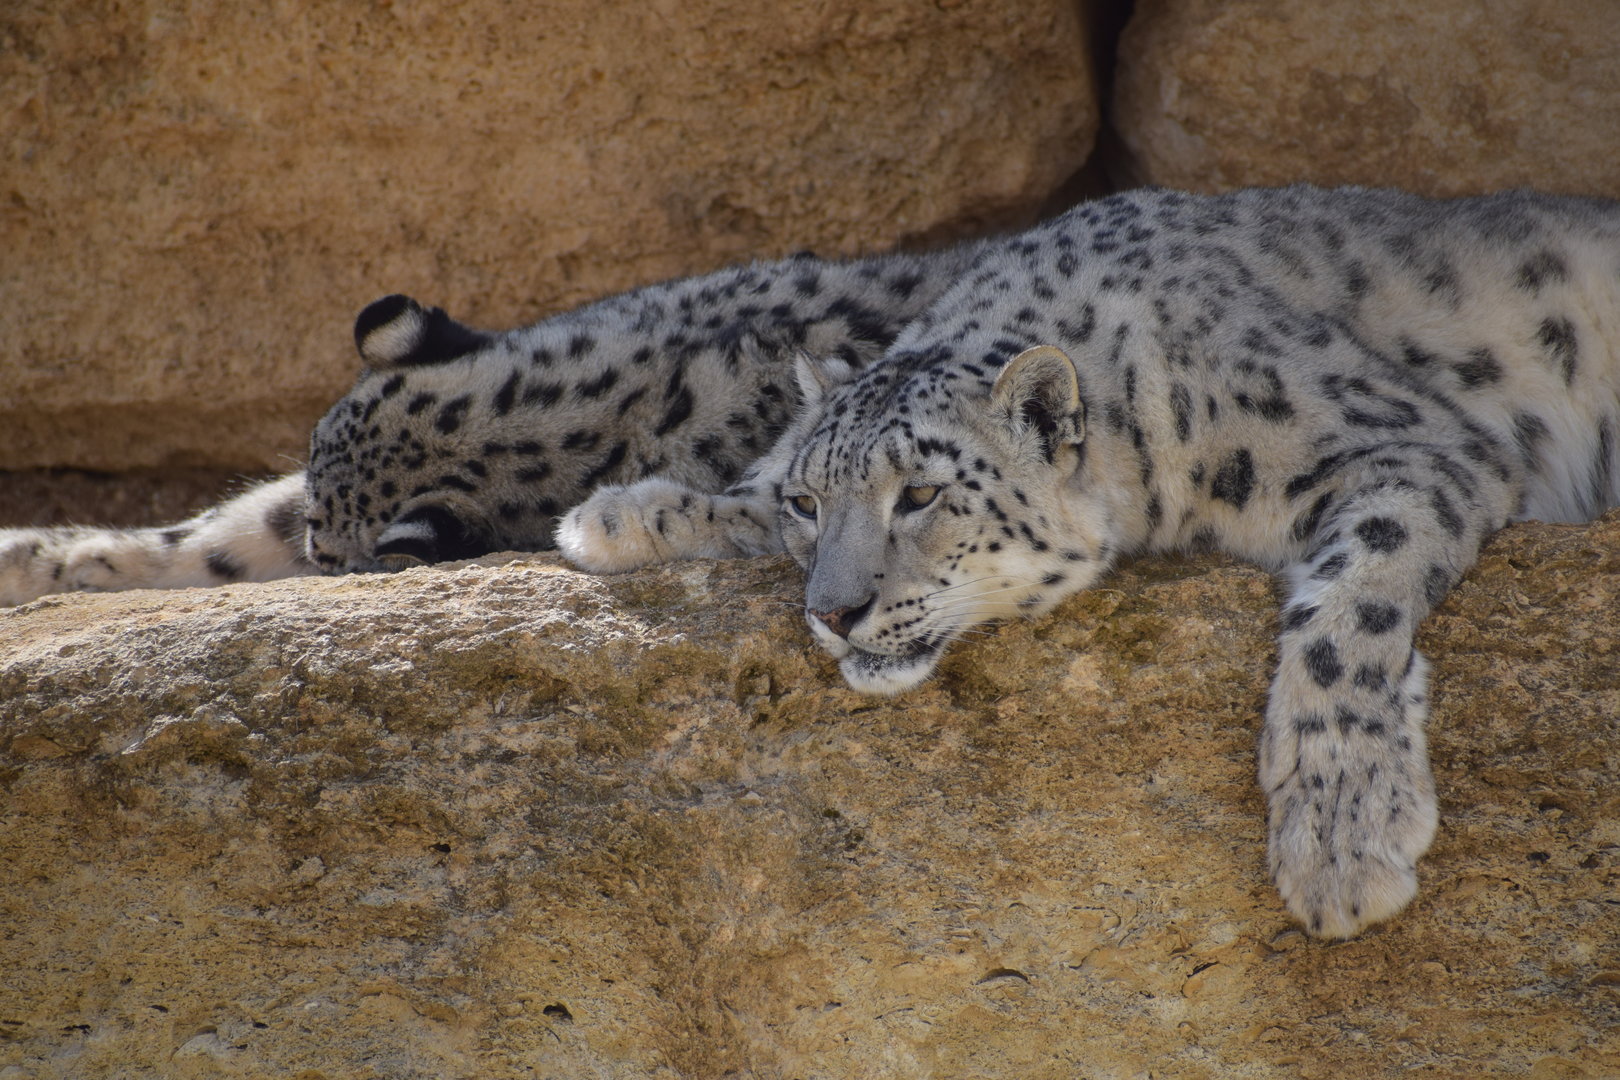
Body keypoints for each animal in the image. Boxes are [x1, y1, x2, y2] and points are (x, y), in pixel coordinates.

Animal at [4, 185, 1616, 941]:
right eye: (810, 503)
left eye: (924, 497)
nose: (836, 614)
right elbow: (227, 525)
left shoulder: (1406, 450)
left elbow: (1348, 614)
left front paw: (1340, 837)